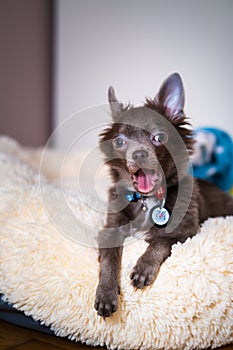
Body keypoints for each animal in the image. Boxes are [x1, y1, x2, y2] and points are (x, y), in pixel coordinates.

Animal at [93, 73, 232, 318]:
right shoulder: (110, 228)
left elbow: (161, 239)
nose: (139, 154)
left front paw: (144, 267)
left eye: (160, 137)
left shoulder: (188, 231)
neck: (147, 201)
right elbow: (109, 257)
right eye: (119, 142)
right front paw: (106, 292)